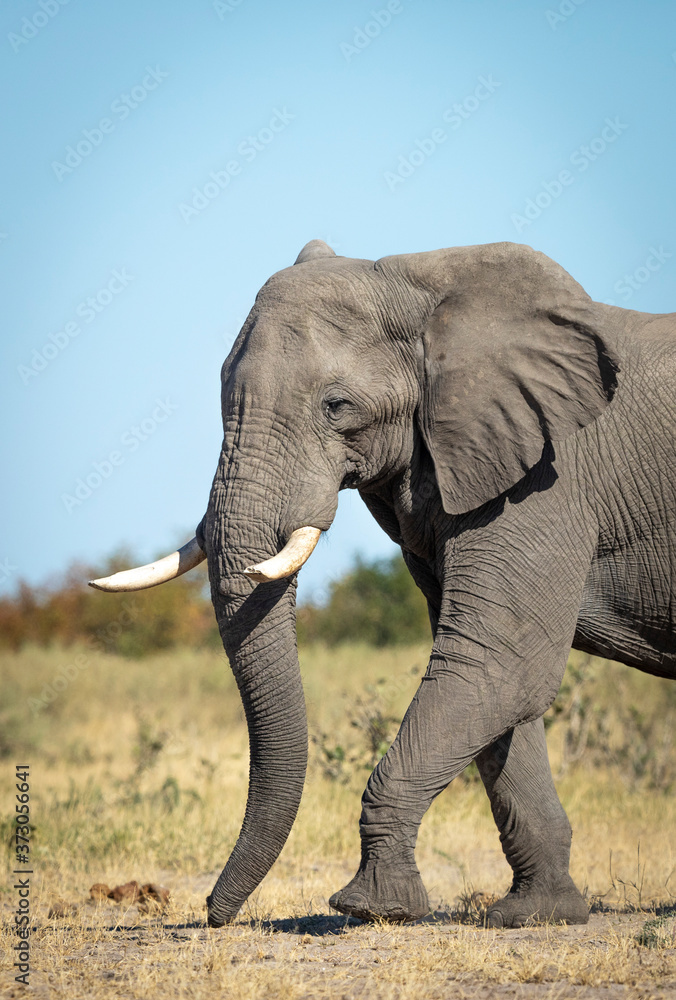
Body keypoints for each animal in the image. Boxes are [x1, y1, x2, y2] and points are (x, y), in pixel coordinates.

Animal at [90, 238, 676, 930]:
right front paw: (536, 916)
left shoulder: (550, 478)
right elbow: (500, 691)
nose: (213, 913)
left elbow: (497, 664)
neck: (423, 286)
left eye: (337, 406)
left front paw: (371, 908)